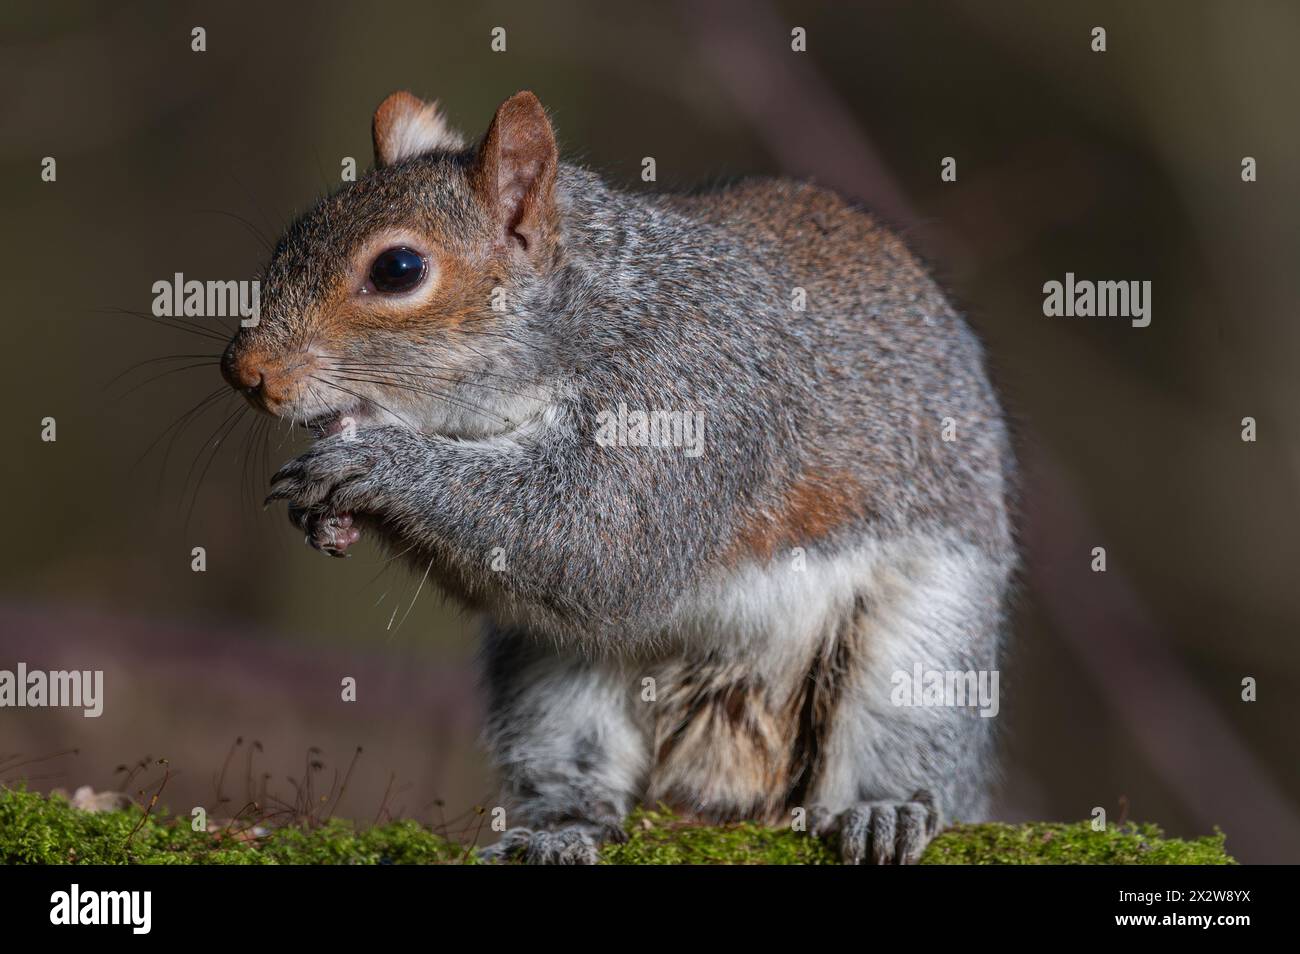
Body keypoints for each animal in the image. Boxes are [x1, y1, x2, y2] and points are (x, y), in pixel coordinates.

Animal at [222, 90, 1017, 864]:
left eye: (398, 270)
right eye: (289, 237)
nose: (245, 371)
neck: (594, 313)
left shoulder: (692, 394)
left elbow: (603, 538)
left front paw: (375, 464)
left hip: (924, 654)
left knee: (905, 741)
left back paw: (885, 810)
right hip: (550, 680)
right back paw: (564, 826)